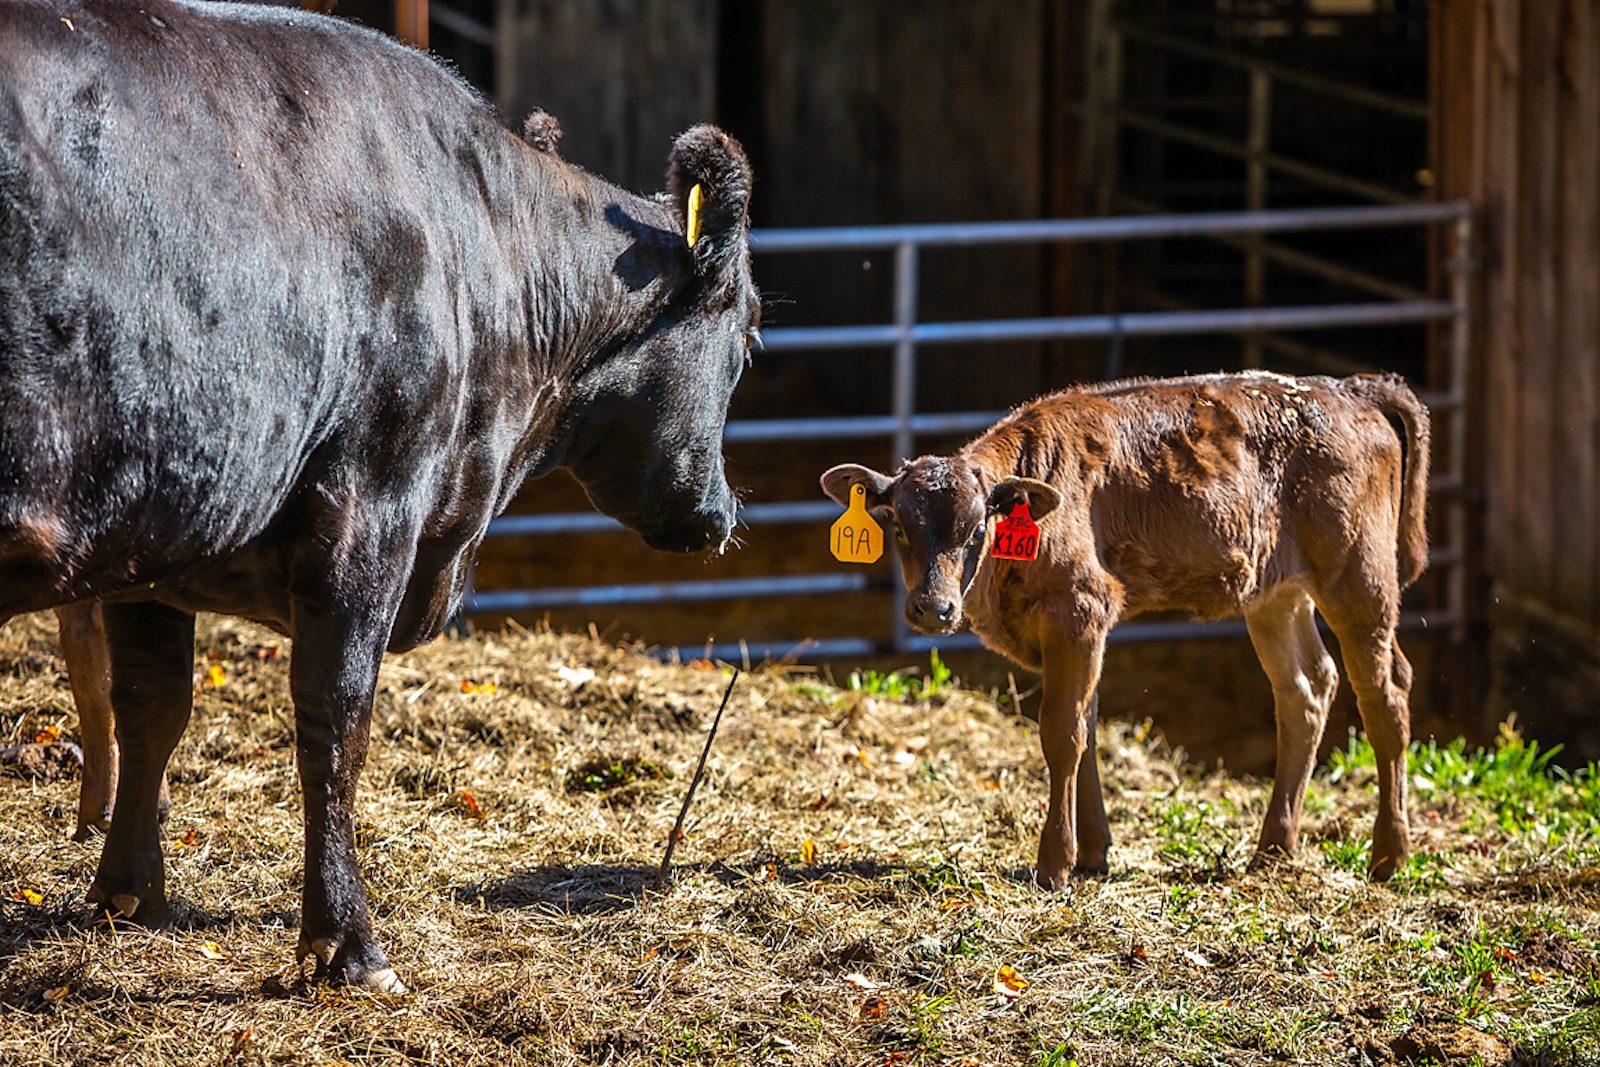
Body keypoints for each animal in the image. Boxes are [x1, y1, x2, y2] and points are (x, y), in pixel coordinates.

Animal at [1, 0, 759, 992]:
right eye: (750, 335)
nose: (722, 512)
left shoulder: (155, 537)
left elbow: (152, 705)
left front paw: (128, 896)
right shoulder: (369, 508)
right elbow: (337, 719)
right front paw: (348, 943)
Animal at [822, 371, 1429, 888]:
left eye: (976, 529)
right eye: (898, 525)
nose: (934, 609)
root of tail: (1348, 388)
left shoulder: (1080, 611)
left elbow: (1062, 733)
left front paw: (1055, 865)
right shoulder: (1079, 633)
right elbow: (1087, 727)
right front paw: (1094, 853)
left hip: (1360, 579)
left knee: (1386, 693)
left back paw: (1389, 854)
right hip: (1275, 591)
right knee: (1306, 690)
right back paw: (1274, 848)